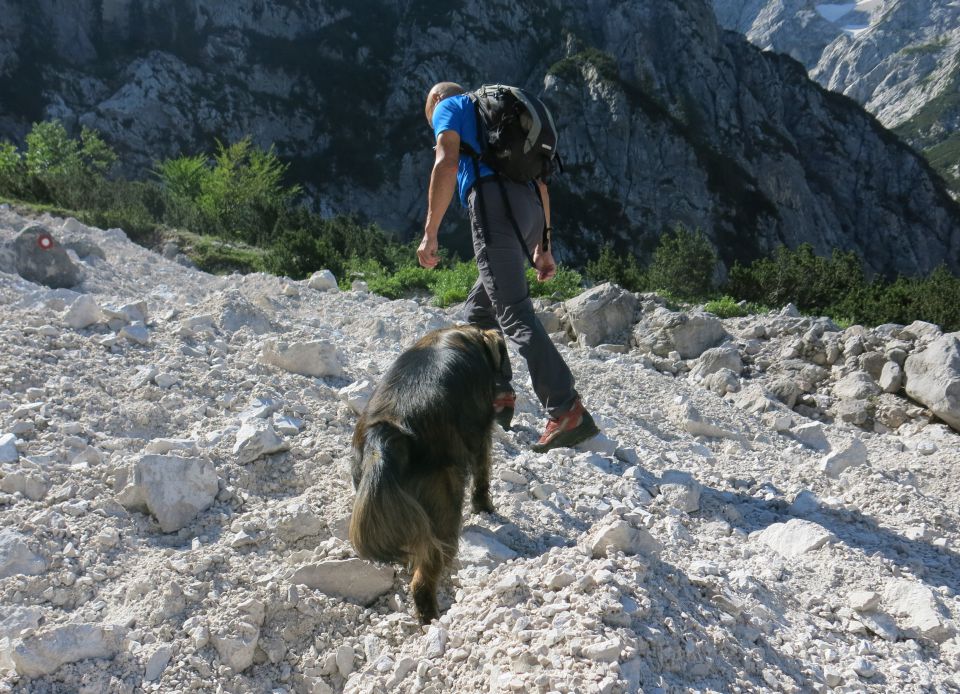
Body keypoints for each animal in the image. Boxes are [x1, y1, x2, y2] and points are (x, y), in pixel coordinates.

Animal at [346, 326, 510, 624]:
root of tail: (386, 435)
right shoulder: (481, 433)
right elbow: (482, 474)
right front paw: (485, 508)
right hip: (444, 502)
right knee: (423, 578)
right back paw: (432, 620)